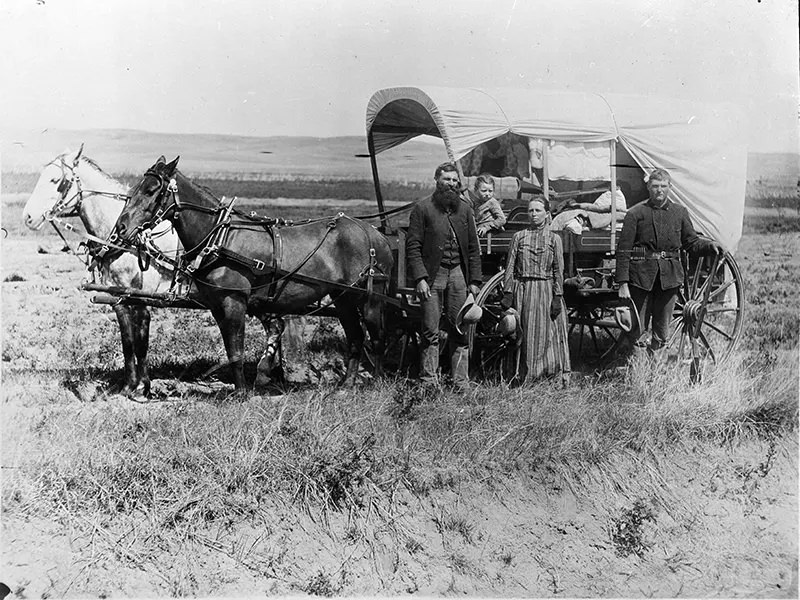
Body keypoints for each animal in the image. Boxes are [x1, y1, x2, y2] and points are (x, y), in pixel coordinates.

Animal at [20, 148, 284, 396]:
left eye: (55, 180)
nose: (28, 217)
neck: (126, 241)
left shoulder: (139, 300)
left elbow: (140, 342)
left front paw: (143, 387)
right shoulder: (119, 299)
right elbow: (127, 342)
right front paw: (129, 386)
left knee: (275, 327)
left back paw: (264, 373)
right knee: (277, 326)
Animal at [112, 156, 394, 390]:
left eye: (151, 190)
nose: (121, 227)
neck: (220, 237)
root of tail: (375, 235)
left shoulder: (234, 301)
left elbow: (237, 351)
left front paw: (243, 394)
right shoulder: (217, 305)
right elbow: (231, 350)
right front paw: (241, 389)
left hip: (371, 299)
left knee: (378, 338)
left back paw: (378, 383)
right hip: (343, 299)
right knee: (356, 338)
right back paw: (346, 385)